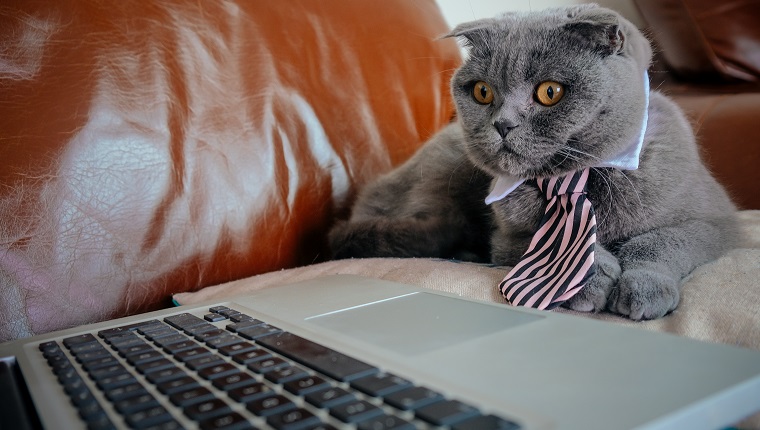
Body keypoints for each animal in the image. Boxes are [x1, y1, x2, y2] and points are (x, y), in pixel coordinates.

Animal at [330, 3, 740, 320]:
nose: (502, 124)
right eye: (483, 92)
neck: (574, 180)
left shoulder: (717, 220)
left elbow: (663, 240)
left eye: (549, 92)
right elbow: (552, 246)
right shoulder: (507, 237)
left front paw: (643, 288)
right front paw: (587, 281)